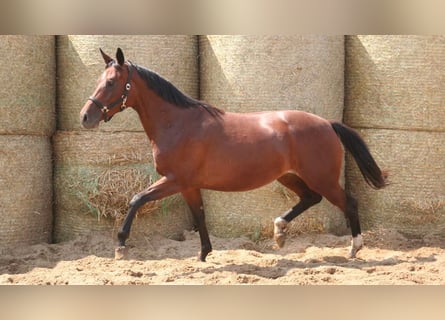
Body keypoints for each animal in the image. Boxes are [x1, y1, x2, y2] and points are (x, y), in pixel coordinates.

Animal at [80, 48, 386, 262]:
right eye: (99, 80)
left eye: (111, 83)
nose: (85, 117)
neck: (179, 123)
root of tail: (327, 123)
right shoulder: (188, 185)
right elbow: (200, 216)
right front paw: (204, 254)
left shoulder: (174, 180)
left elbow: (136, 200)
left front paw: (120, 246)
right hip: (289, 176)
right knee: (311, 198)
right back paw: (279, 232)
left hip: (322, 178)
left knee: (349, 203)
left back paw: (354, 249)